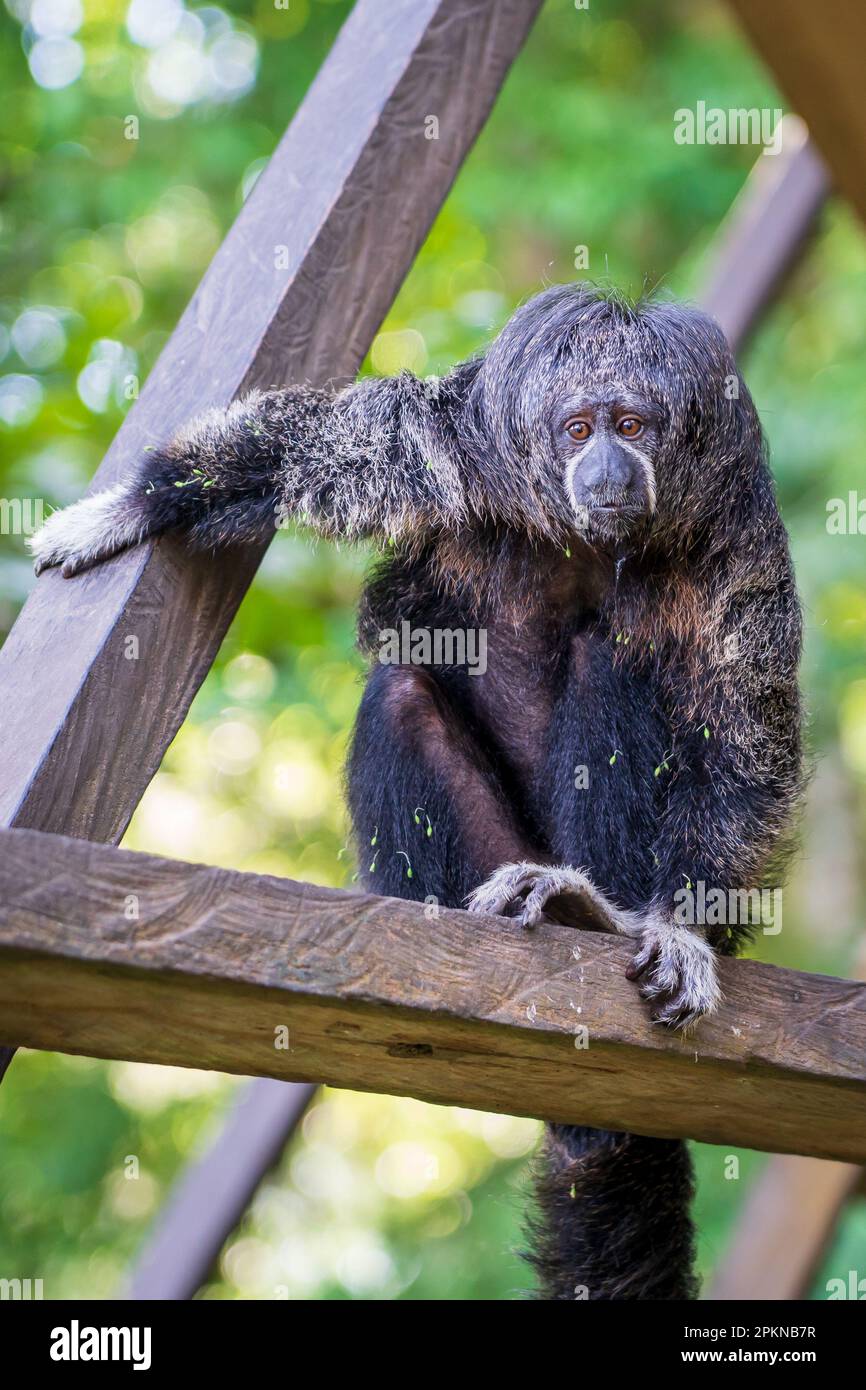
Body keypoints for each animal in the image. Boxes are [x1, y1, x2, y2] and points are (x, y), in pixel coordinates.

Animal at [28, 283, 803, 1300]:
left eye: (631, 425)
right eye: (578, 428)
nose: (603, 464)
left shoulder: (737, 533)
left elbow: (749, 738)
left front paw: (684, 927)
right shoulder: (467, 446)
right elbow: (325, 446)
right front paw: (132, 506)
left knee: (615, 661)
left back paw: (596, 909)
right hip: (471, 863)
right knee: (404, 692)